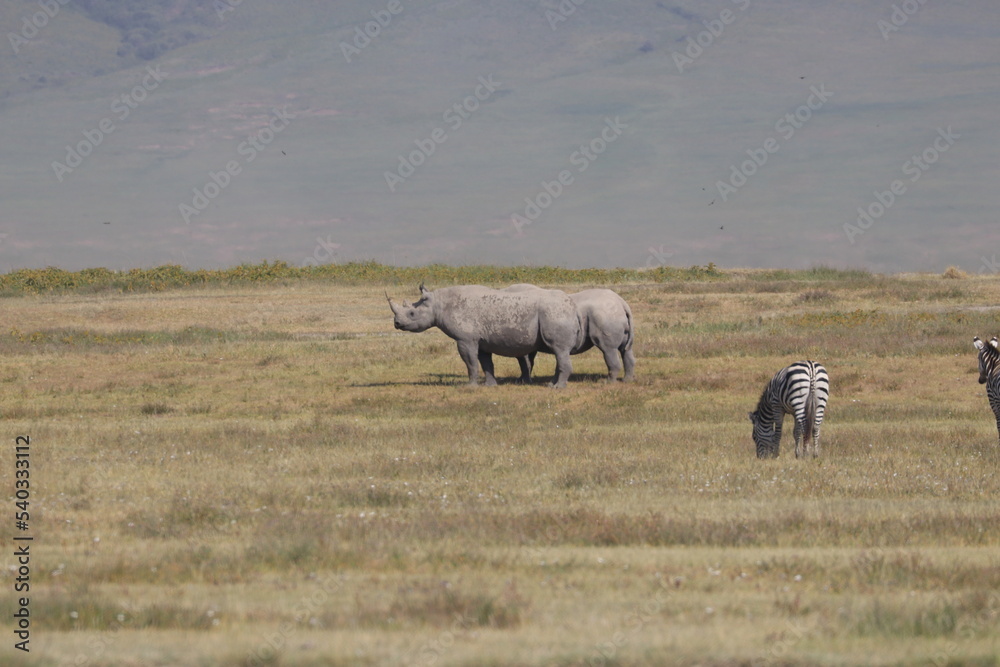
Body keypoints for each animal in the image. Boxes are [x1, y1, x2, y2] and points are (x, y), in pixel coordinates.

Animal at [386, 284, 580, 387]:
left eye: (412, 313)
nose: (397, 324)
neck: (439, 304)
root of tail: (572, 306)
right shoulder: (482, 341)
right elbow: (486, 363)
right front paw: (490, 385)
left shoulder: (465, 339)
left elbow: (470, 362)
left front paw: (470, 386)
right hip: (556, 312)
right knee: (558, 352)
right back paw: (551, 385)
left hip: (555, 313)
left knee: (559, 349)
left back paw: (557, 388)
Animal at [505, 285, 635, 382]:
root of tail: (621, 302)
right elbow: (528, 360)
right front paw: (522, 380)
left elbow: (523, 361)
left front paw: (521, 381)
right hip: (612, 315)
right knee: (625, 349)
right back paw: (627, 380)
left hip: (604, 315)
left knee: (608, 349)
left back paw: (608, 382)